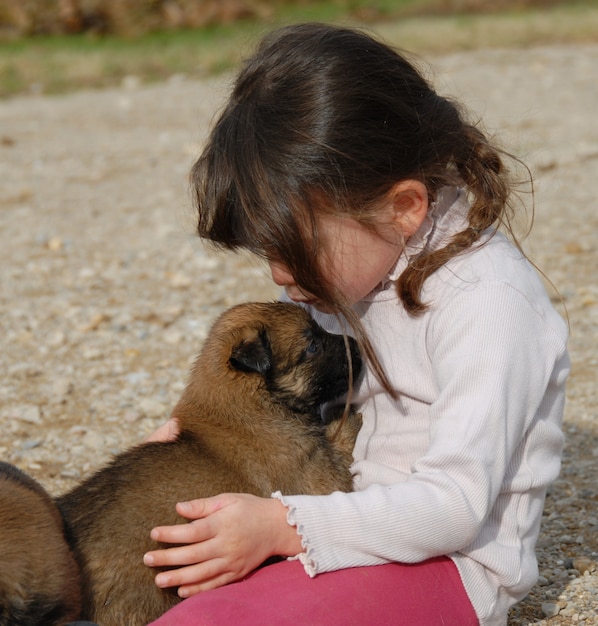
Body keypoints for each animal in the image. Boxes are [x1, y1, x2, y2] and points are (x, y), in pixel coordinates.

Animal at [56, 300, 364, 620]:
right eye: (313, 345)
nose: (356, 343)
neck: (250, 405)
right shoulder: (318, 478)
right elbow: (339, 446)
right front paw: (348, 418)